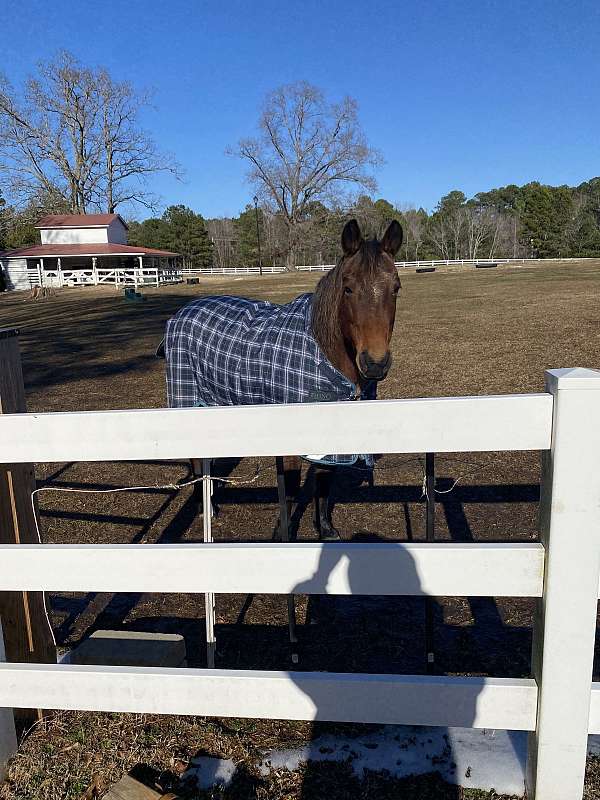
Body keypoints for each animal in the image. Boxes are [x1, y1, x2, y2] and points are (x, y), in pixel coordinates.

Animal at [163, 219, 404, 540]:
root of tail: (182, 312)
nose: (375, 363)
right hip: (188, 399)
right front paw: (282, 535)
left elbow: (324, 482)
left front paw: (325, 530)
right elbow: (289, 490)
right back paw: (208, 508)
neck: (322, 349)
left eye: (396, 288)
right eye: (348, 288)